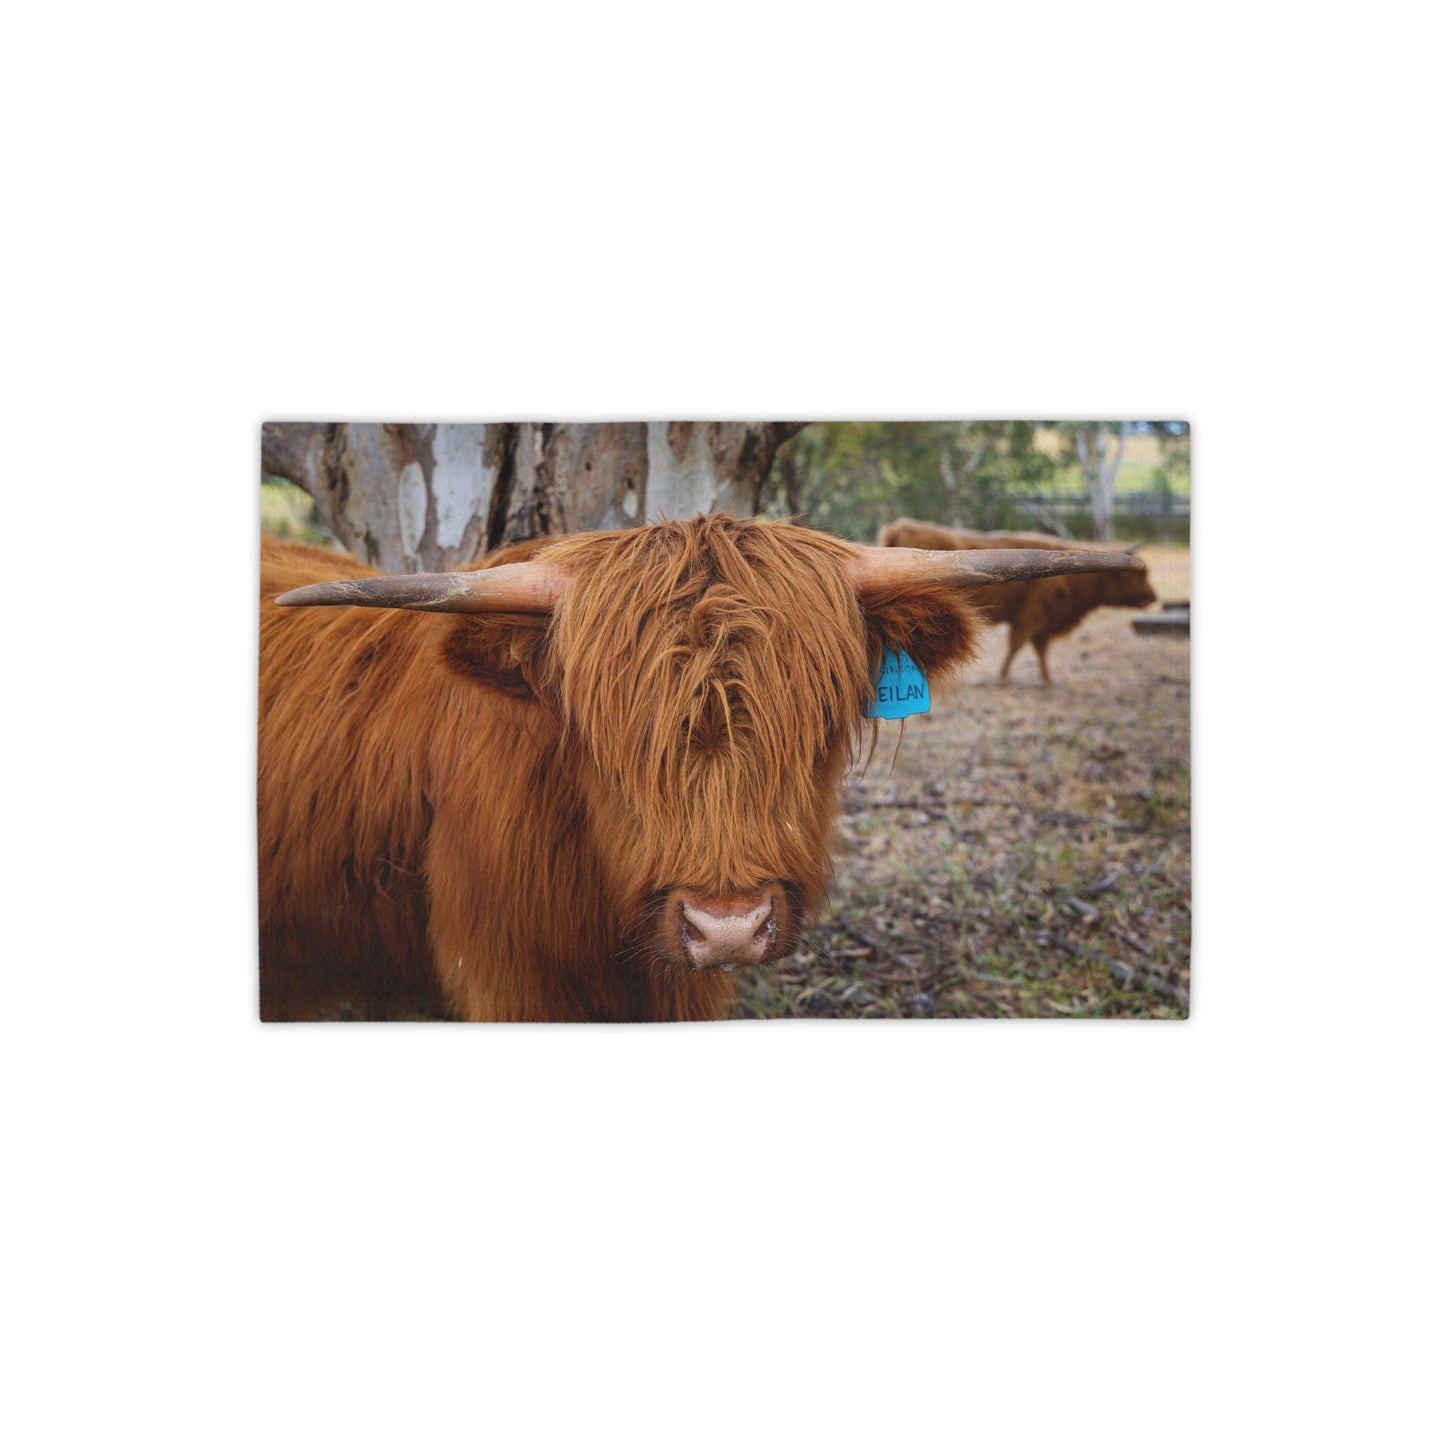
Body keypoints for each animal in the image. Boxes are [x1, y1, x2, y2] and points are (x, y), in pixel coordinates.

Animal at [872, 517, 1156, 684]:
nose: (1153, 597)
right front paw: (1005, 676)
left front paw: (1046, 678)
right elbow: (1020, 645)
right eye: (1139, 574)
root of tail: (902, 525)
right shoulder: (1032, 617)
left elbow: (1038, 649)